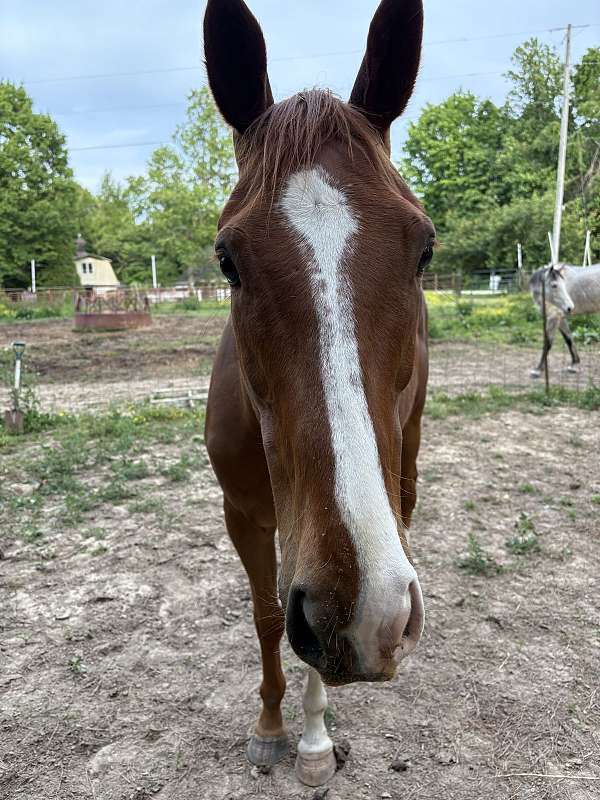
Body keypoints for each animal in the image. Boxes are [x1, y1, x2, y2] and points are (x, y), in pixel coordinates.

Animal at [203, 0, 434, 786]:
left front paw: (311, 739)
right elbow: (271, 615)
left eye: (424, 250)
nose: (369, 610)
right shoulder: (244, 513)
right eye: (227, 260)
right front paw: (271, 727)